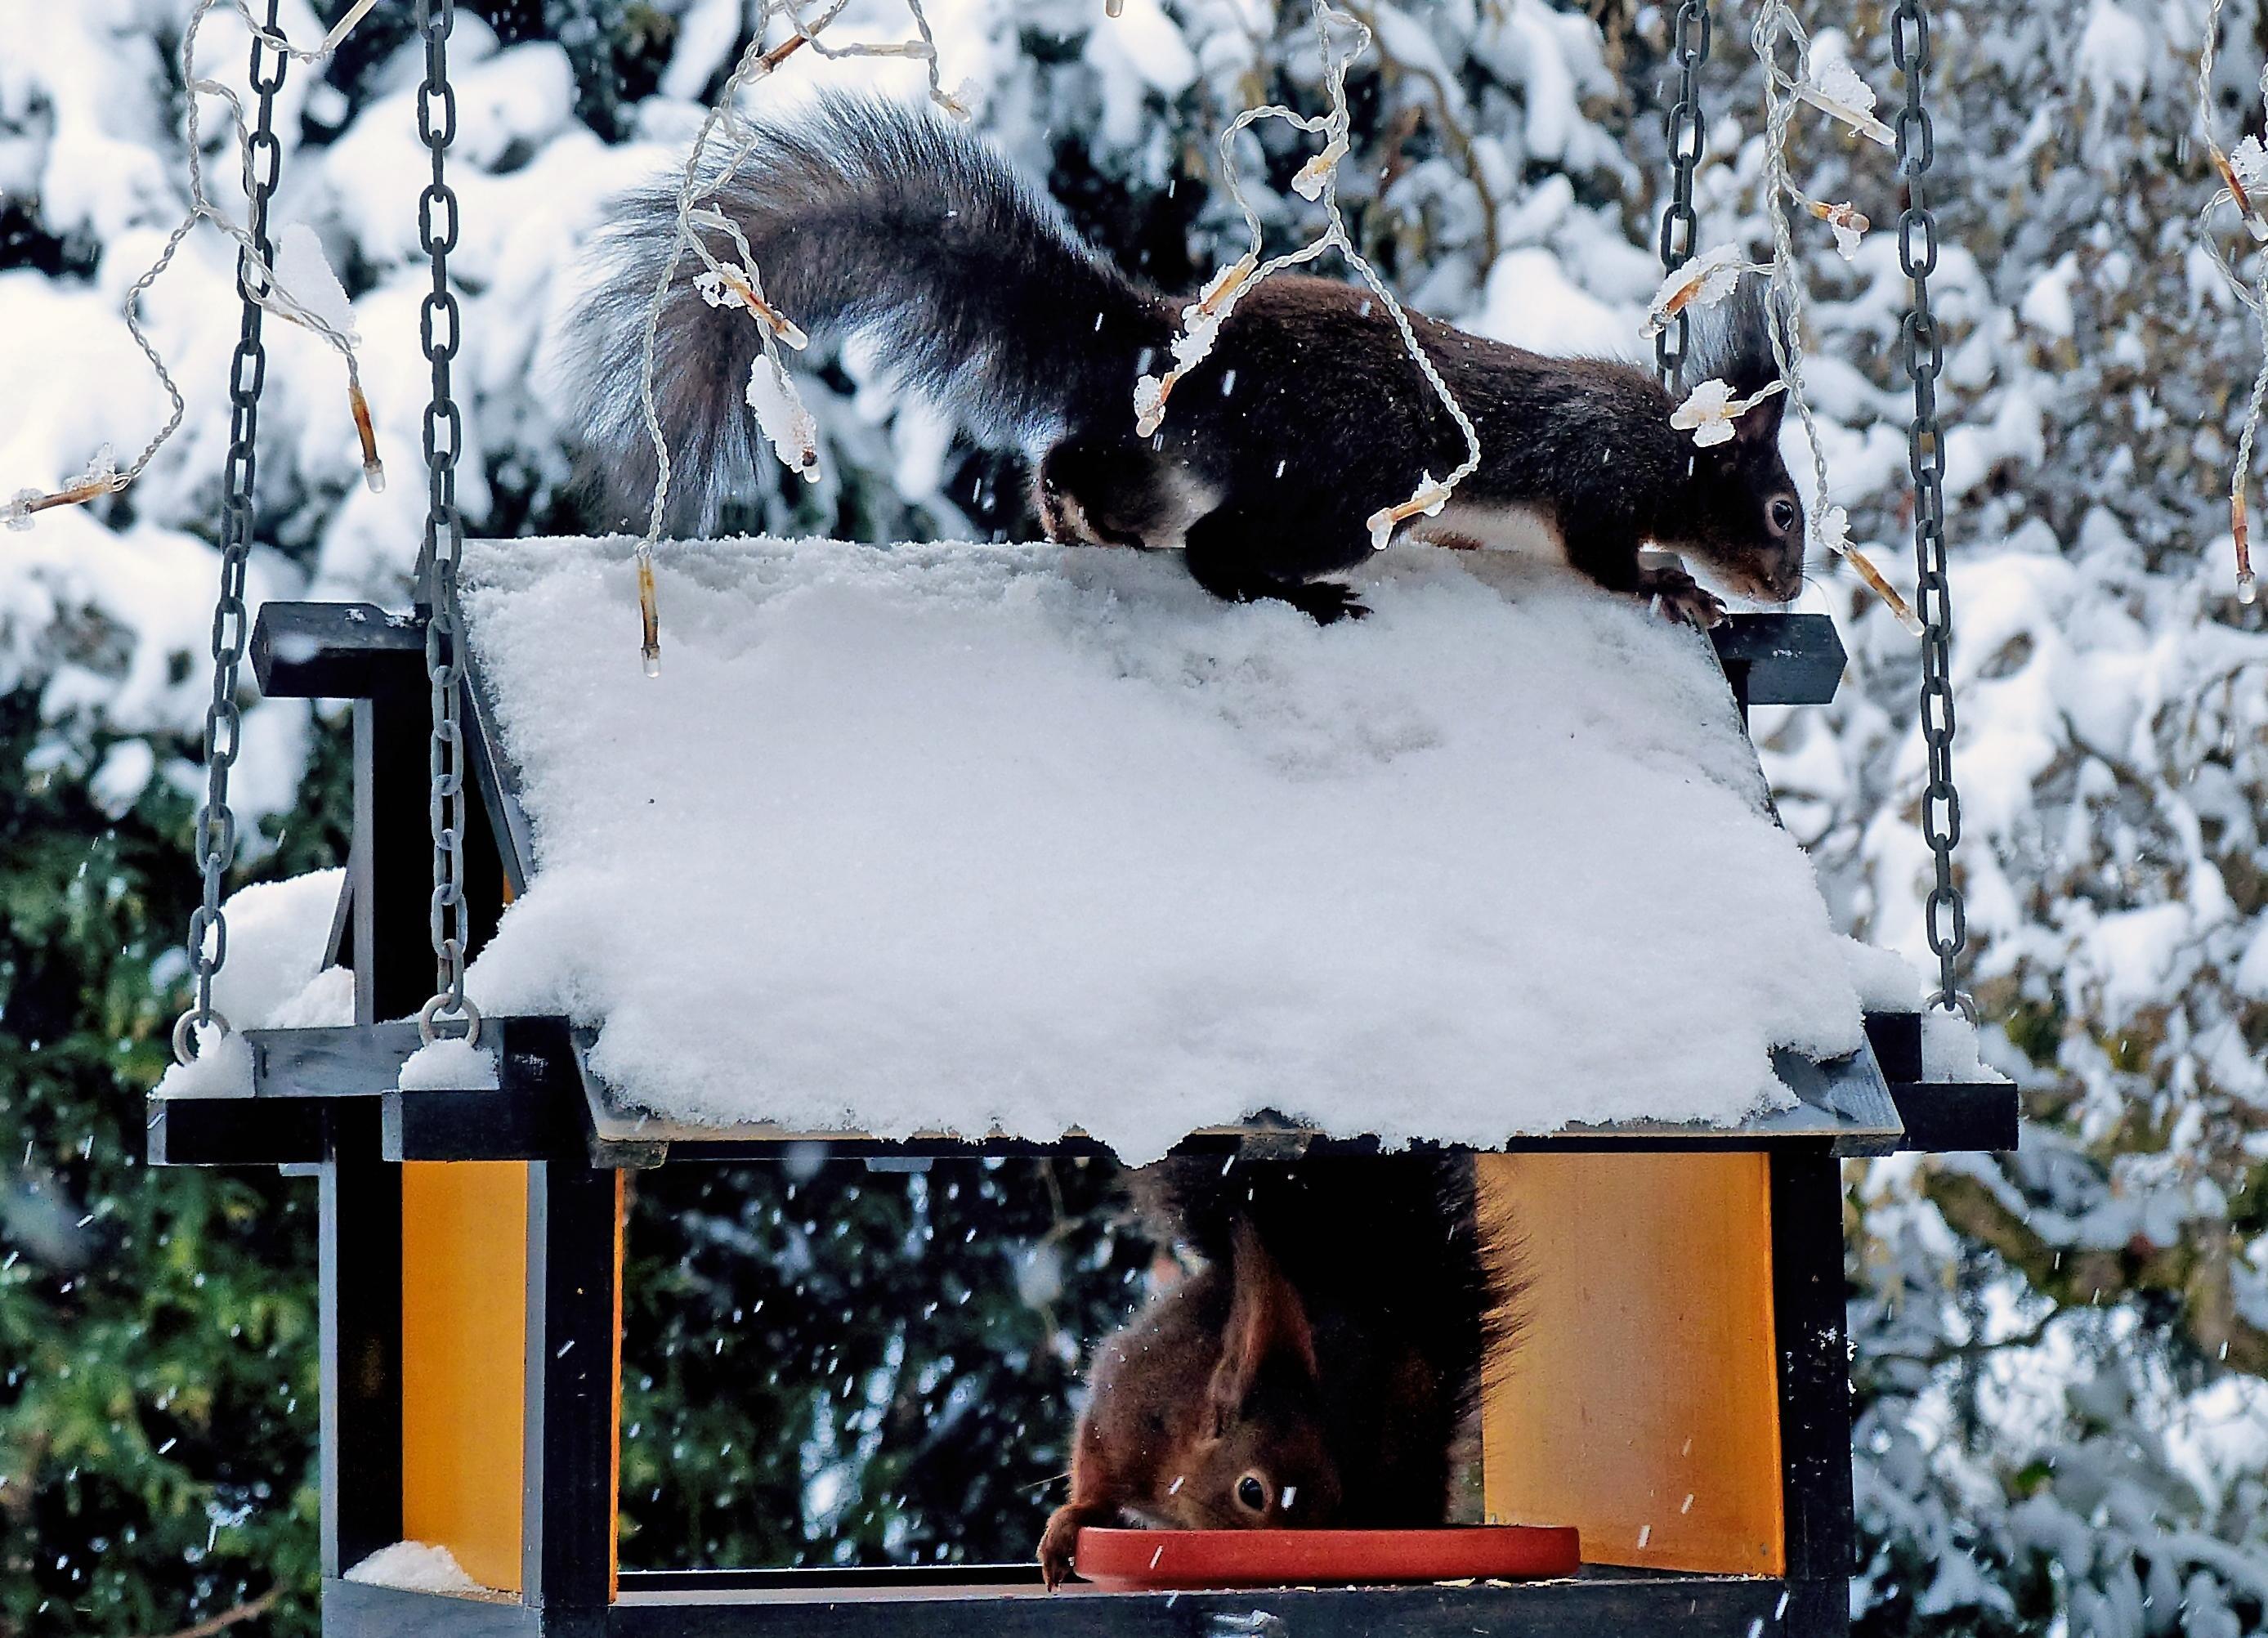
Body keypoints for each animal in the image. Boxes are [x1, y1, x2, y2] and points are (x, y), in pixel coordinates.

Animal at [570, 94, 1805, 627]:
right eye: (1783, 512)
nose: (1789, 586)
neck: (1668, 441)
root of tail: (1168, 340)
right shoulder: (1593, 475)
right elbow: (1603, 556)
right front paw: (1673, 587)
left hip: (1177, 455)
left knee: (1084, 466)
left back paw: (1079, 520)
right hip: (1341, 484)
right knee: (1218, 550)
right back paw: (1301, 597)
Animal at [1035, 1151, 1517, 1589]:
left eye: (1335, 1494)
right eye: (1252, 1492)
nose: (1292, 1553)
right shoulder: (1117, 1419)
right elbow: (1093, 1479)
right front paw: (1070, 1523)